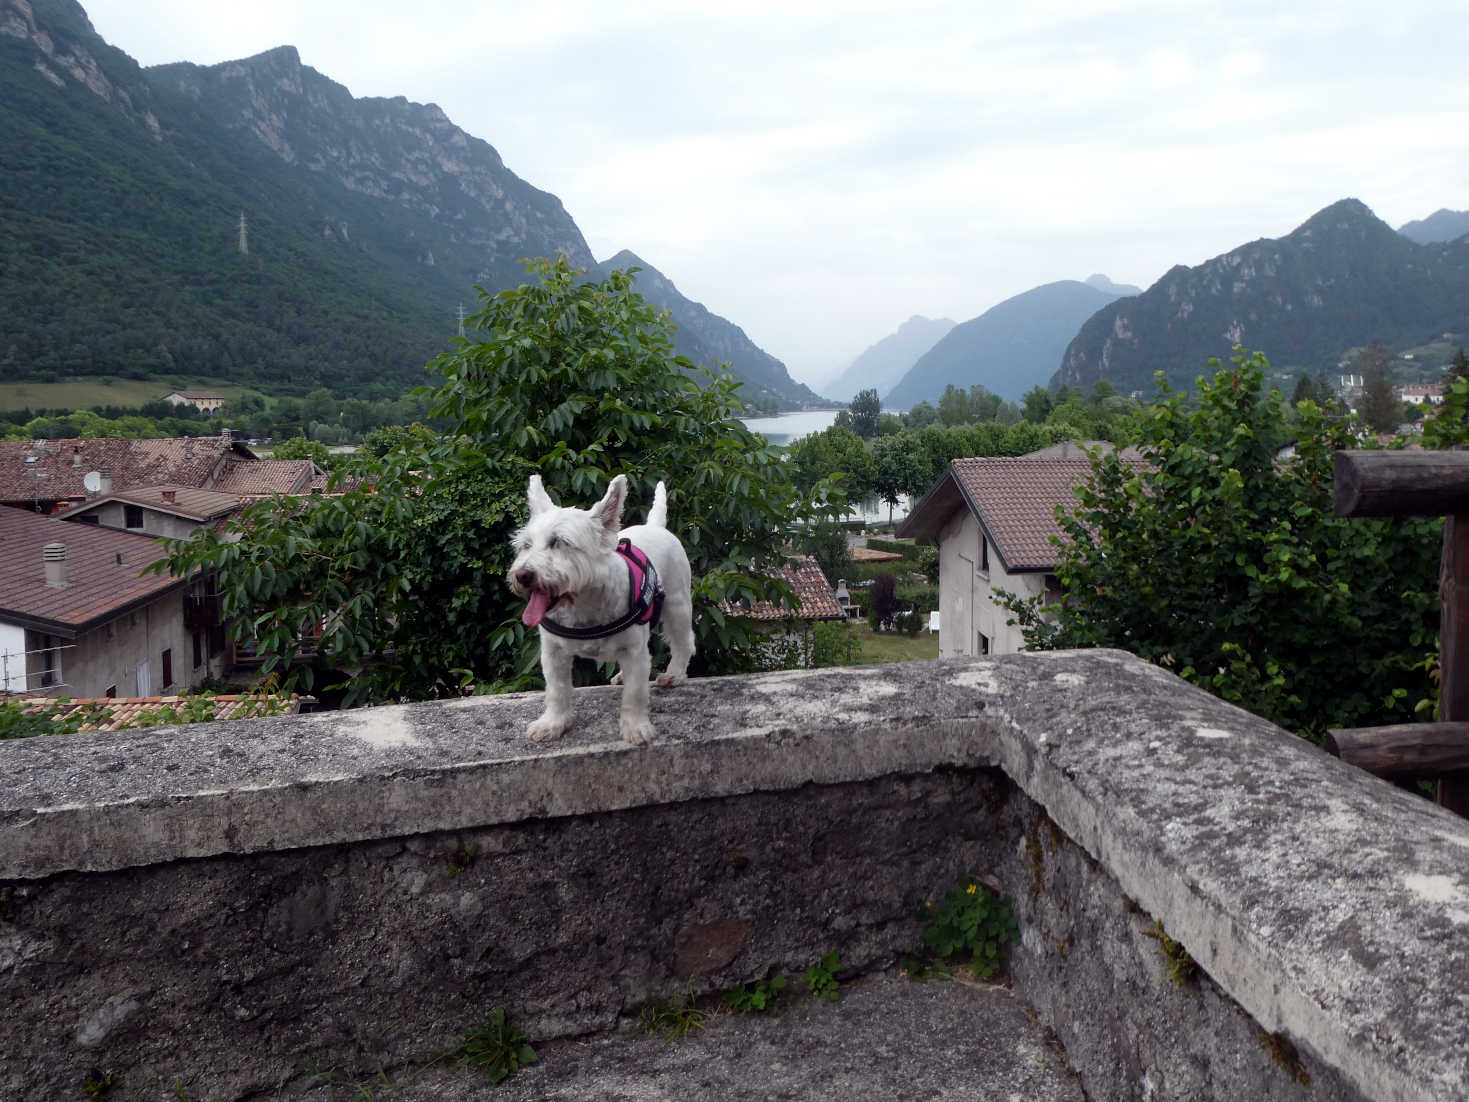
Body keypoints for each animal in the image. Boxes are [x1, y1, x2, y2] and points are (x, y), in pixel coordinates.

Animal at [511, 470, 693, 746]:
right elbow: (557, 689)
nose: (522, 575)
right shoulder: (553, 652)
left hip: (677, 604)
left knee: (684, 641)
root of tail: (655, 525)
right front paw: (552, 724)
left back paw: (674, 675)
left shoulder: (635, 651)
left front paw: (636, 728)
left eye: (559, 542)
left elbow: (635, 692)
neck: (583, 604)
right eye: (526, 545)